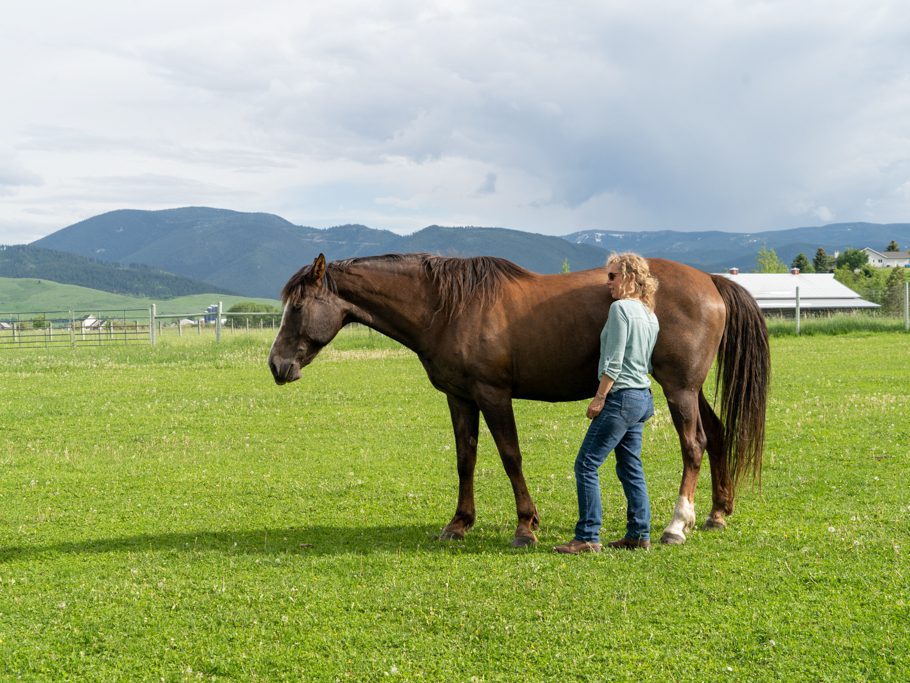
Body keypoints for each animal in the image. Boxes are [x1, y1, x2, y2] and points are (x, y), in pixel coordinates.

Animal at [270, 254, 768, 548]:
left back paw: (676, 525)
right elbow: (465, 458)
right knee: (717, 435)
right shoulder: (460, 397)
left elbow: (510, 456)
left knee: (694, 445)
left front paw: (526, 526)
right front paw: (459, 523)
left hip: (679, 388)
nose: (276, 366)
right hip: (688, 388)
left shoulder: (493, 394)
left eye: (298, 307)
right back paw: (717, 513)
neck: (448, 307)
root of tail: (710, 281)